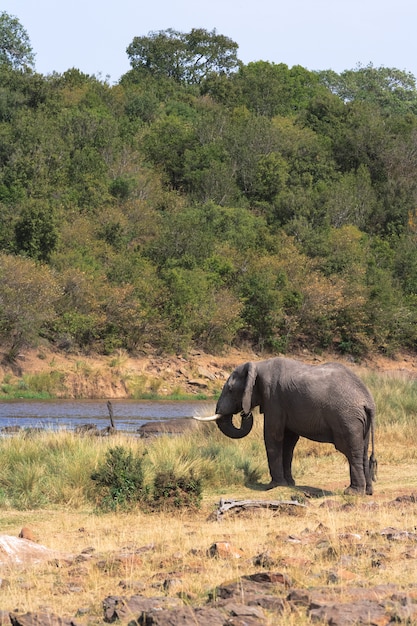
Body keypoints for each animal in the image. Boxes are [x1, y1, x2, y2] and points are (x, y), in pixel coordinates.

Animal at [193, 356, 376, 492]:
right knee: (363, 449)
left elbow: (273, 435)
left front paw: (274, 486)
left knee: (351, 451)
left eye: (230, 390)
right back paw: (367, 491)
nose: (245, 412)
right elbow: (288, 442)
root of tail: (367, 401)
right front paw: (289, 484)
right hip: (360, 421)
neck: (258, 365)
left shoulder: (274, 398)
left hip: (347, 419)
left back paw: (353, 492)